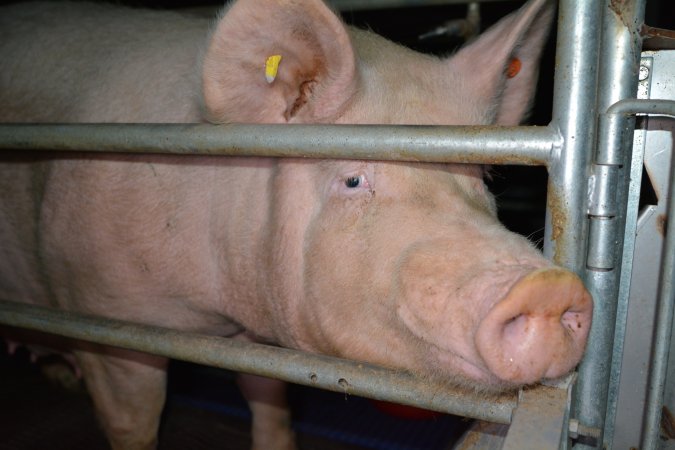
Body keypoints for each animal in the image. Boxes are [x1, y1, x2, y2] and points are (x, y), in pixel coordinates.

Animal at [0, 0, 592, 448]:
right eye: (352, 179)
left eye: (483, 176)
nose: (548, 287)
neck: (229, 312)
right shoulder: (101, 310)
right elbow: (134, 423)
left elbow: (270, 402)